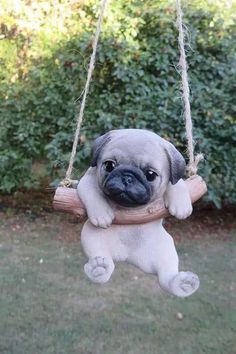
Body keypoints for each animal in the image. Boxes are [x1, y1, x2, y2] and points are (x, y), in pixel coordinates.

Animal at [77, 129, 199, 298]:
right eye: (109, 165)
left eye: (150, 175)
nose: (127, 177)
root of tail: (126, 256)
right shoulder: (88, 179)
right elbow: (91, 192)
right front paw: (102, 213)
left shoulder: (173, 180)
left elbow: (177, 184)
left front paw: (181, 205)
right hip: (93, 239)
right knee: (103, 263)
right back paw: (99, 269)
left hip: (165, 250)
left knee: (166, 276)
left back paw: (182, 284)